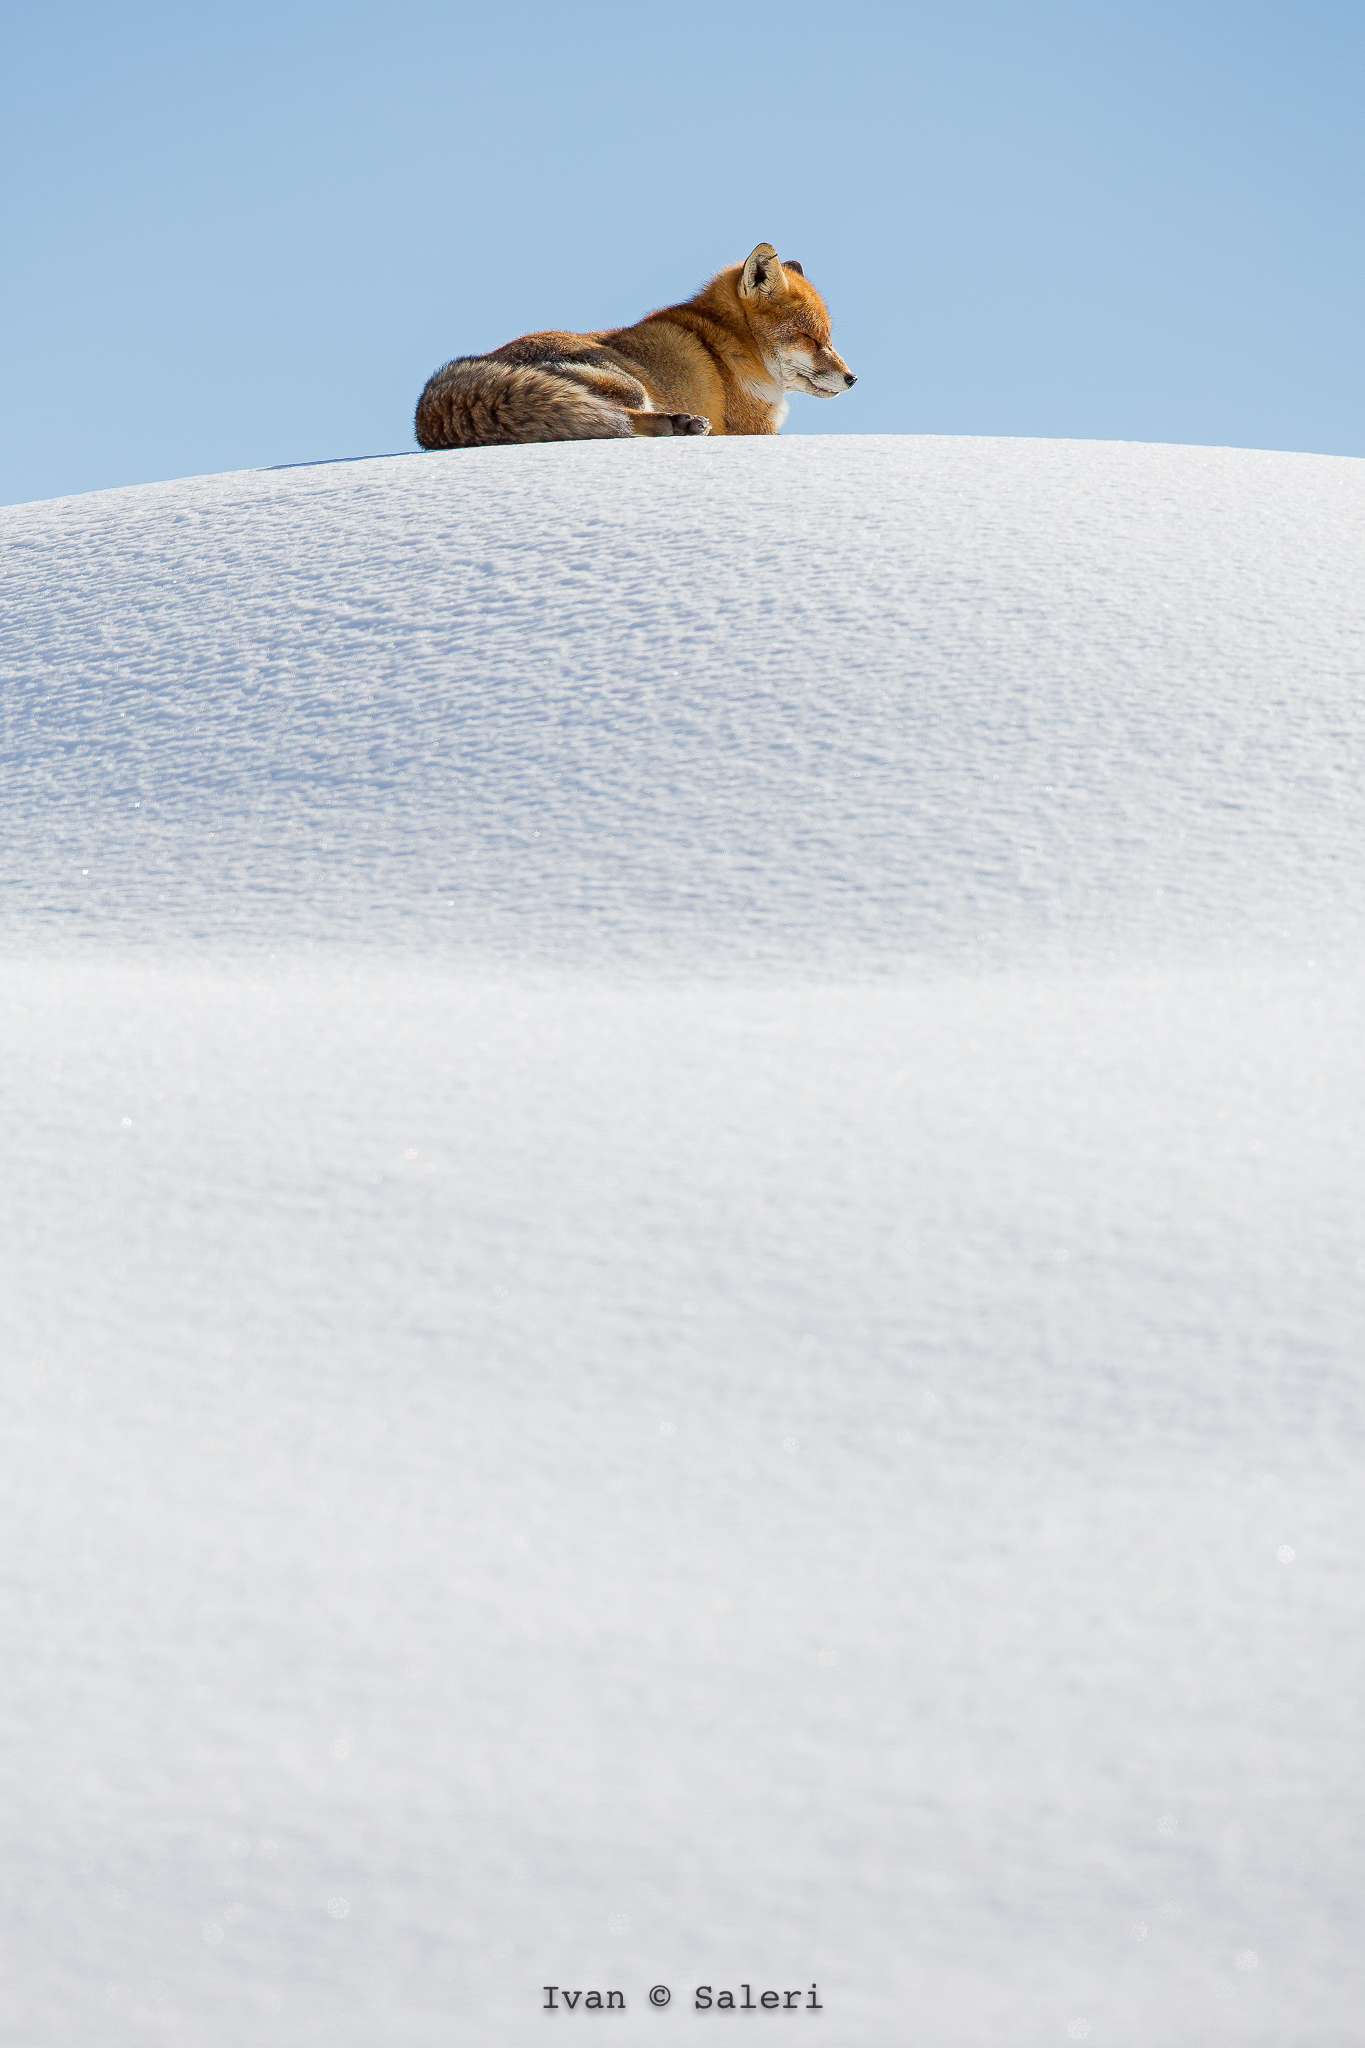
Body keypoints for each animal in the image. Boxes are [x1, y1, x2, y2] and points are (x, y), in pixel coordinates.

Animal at [414, 243, 855, 449]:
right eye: (810, 338)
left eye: (828, 338)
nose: (853, 378)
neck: (730, 343)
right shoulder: (753, 428)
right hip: (629, 385)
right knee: (613, 422)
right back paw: (678, 424)